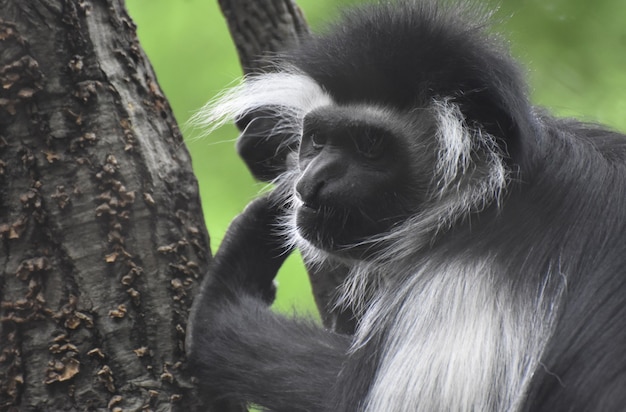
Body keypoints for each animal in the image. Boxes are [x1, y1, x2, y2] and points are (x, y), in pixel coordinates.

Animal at [185, 1, 624, 410]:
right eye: (318, 139)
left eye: (370, 146)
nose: (310, 183)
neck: (484, 195)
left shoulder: (472, 276)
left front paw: (233, 279)